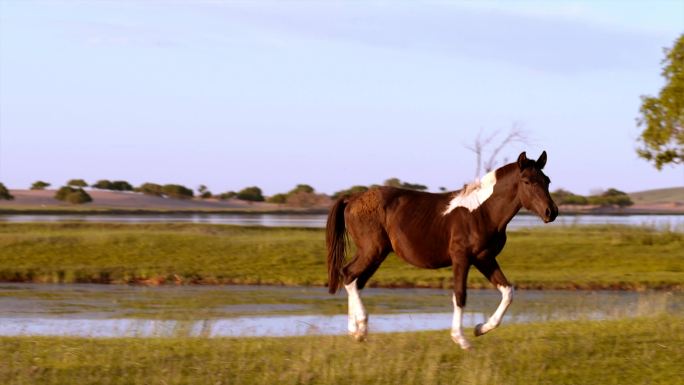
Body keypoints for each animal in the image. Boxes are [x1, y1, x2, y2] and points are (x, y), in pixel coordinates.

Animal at [326, 150, 556, 348]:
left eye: (547, 180)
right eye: (527, 181)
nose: (551, 212)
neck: (481, 212)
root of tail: (352, 199)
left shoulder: (485, 259)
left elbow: (508, 291)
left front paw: (480, 328)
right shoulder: (461, 258)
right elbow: (460, 295)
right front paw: (461, 340)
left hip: (376, 254)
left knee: (354, 280)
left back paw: (356, 331)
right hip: (372, 251)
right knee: (349, 275)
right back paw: (359, 329)